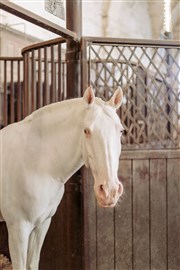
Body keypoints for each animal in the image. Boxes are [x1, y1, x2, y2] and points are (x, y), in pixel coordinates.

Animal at [0, 86, 124, 270]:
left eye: (121, 131)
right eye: (86, 130)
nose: (109, 191)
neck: (36, 162)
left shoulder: (41, 225)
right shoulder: (18, 228)